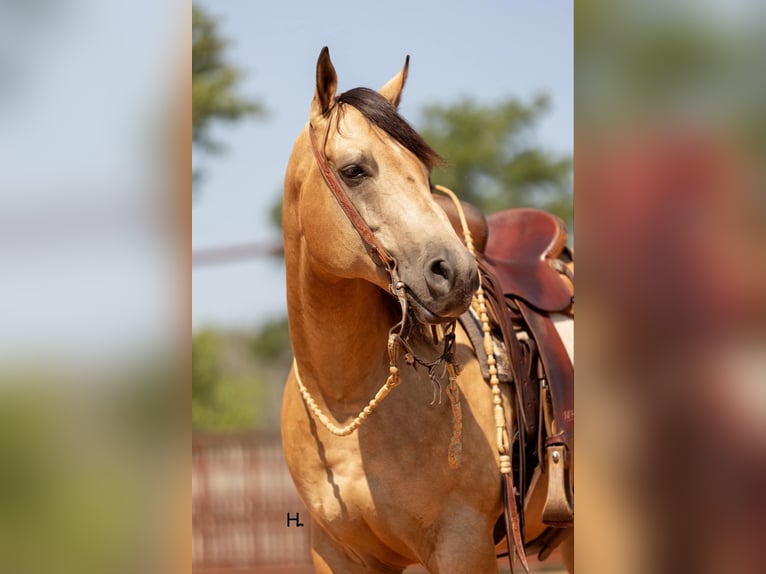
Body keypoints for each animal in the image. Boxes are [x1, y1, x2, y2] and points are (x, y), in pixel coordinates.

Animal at [282, 47, 576, 572]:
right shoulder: (335, 552)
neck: (348, 400)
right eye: (354, 170)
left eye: (424, 174)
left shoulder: (461, 544)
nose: (457, 274)